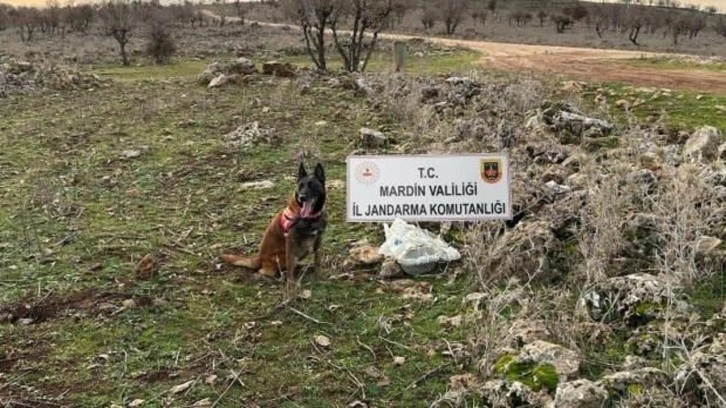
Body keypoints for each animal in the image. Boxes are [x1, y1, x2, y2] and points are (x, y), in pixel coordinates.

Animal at [219, 161, 328, 298]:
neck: (310, 218)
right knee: (269, 270)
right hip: (280, 257)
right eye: (300, 186)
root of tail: (259, 257)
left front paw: (318, 277)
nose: (302, 197)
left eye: (312, 185)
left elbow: (317, 261)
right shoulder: (290, 244)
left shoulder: (318, 241)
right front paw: (291, 290)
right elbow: (291, 273)